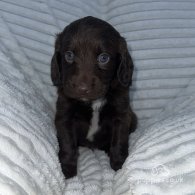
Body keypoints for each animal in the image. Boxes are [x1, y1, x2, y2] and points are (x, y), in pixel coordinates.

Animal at [51, 16, 138, 179]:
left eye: (103, 58)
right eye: (69, 55)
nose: (82, 89)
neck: (93, 102)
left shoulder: (121, 114)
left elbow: (119, 142)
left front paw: (118, 167)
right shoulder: (65, 114)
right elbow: (67, 144)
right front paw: (68, 173)